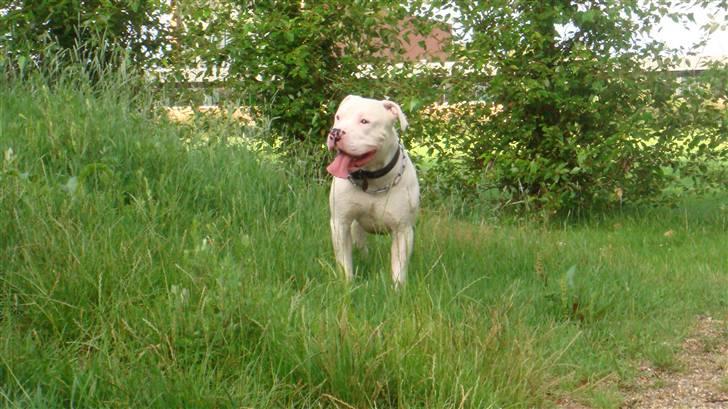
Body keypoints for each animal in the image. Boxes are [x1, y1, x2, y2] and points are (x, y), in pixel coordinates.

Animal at [326, 95, 420, 286]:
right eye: (338, 117)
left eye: (364, 121)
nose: (335, 132)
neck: (372, 181)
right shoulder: (340, 223)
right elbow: (344, 260)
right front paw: (347, 285)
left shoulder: (403, 230)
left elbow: (399, 267)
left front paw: (397, 290)